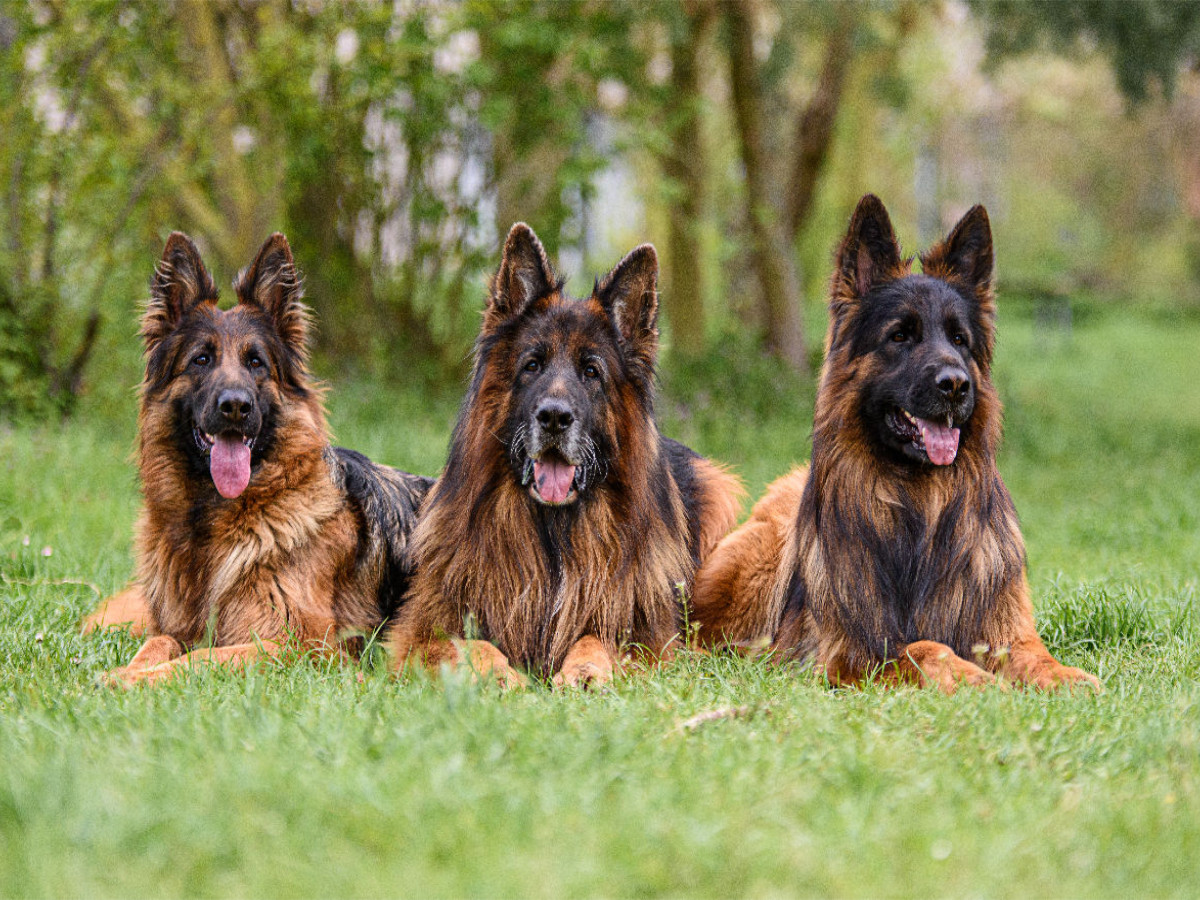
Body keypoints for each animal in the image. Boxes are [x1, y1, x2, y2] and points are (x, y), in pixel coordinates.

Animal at [90, 236, 436, 686]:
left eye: (255, 362)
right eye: (201, 359)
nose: (235, 406)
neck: (216, 521)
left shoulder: (303, 647)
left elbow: (201, 658)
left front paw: (132, 680)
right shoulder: (175, 629)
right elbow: (159, 643)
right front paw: (127, 671)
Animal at [388, 225, 739, 691]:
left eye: (591, 371)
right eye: (532, 365)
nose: (554, 417)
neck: (554, 532)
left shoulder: (649, 637)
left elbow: (598, 637)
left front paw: (586, 670)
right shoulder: (415, 635)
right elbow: (466, 645)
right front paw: (498, 675)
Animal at [696, 194, 1099, 696]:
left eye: (960, 339)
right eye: (900, 336)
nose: (955, 385)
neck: (921, 503)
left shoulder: (1006, 628)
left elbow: (1036, 657)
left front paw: (1069, 678)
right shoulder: (852, 653)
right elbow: (927, 648)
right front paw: (977, 679)